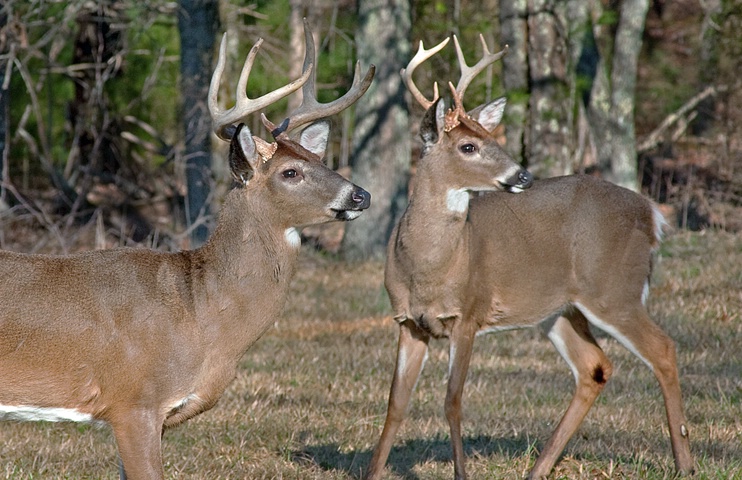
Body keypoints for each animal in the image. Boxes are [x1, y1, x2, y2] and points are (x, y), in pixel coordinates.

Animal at [370, 34, 696, 480]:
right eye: (468, 146)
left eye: (494, 139)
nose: (521, 175)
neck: (427, 268)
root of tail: (651, 214)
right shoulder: (407, 322)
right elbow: (395, 405)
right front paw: (371, 471)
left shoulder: (468, 313)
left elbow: (452, 401)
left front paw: (461, 472)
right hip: (560, 309)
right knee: (595, 367)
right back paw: (539, 468)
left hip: (614, 290)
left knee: (663, 349)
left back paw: (685, 463)